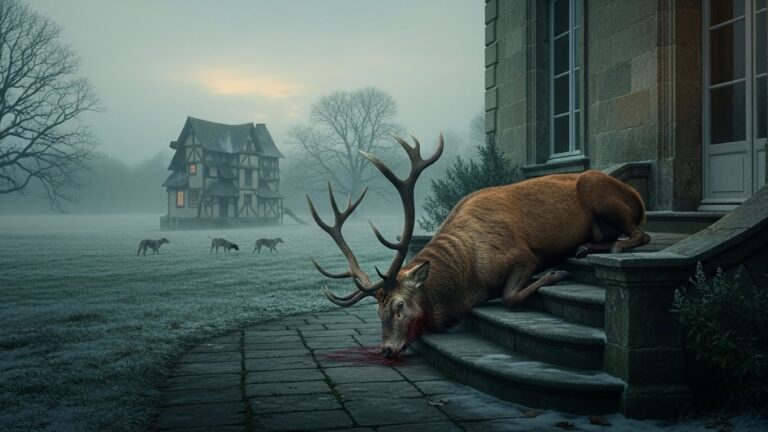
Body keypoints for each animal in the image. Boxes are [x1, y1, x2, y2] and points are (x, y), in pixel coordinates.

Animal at [308, 134, 650, 358]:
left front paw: (555, 274)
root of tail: (638, 197)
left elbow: (511, 297)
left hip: (600, 190)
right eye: (377, 311)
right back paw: (585, 248)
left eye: (400, 306)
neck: (468, 279)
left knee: (643, 234)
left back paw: (612, 249)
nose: (387, 350)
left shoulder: (521, 255)